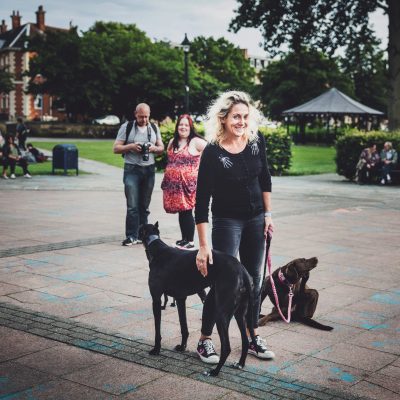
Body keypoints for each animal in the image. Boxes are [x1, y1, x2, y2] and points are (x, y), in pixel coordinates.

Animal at [140, 223, 256, 376]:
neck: (156, 246)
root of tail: (242, 271)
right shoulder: (180, 299)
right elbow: (184, 327)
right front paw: (182, 347)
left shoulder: (156, 299)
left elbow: (157, 330)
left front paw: (156, 349)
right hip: (240, 313)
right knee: (245, 341)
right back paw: (240, 364)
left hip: (221, 314)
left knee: (227, 347)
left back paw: (215, 371)